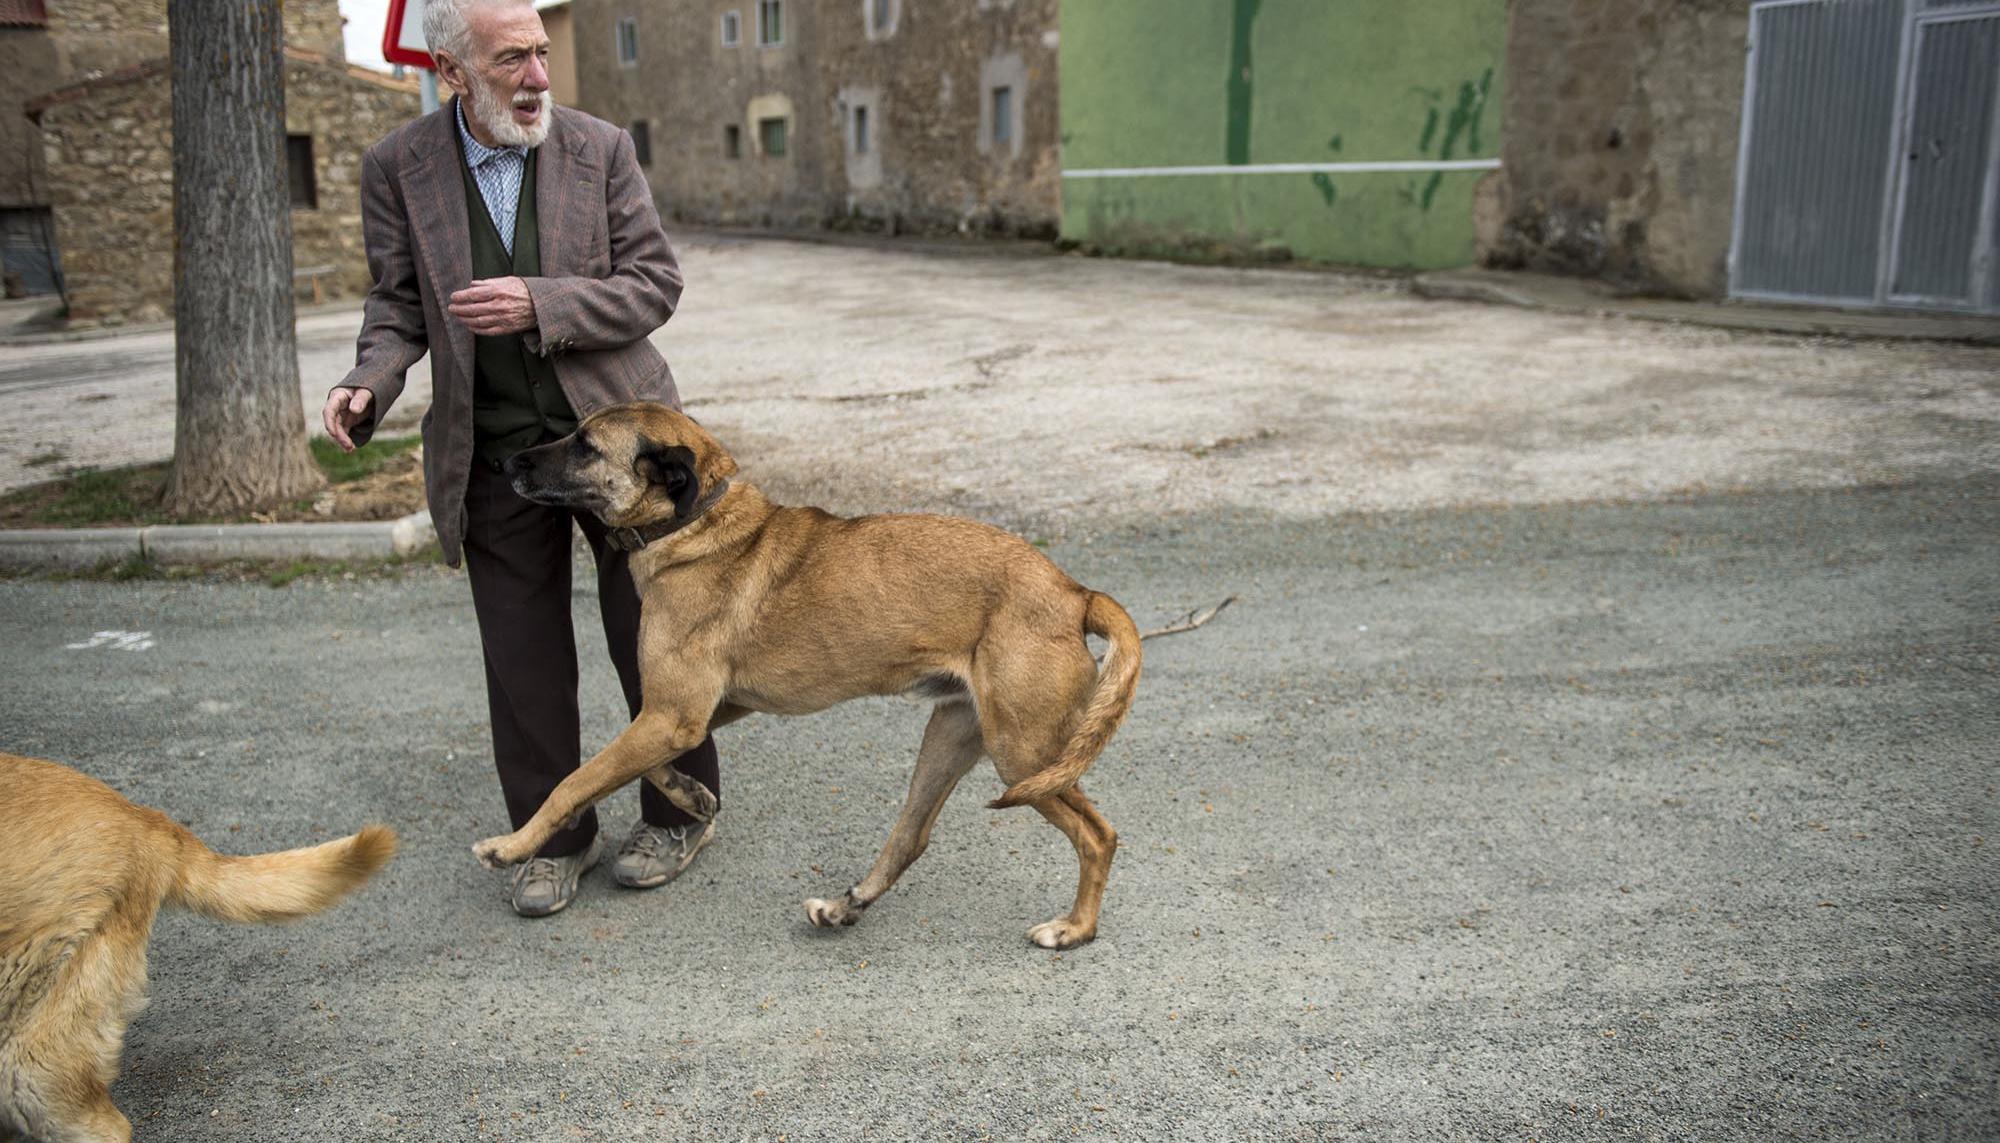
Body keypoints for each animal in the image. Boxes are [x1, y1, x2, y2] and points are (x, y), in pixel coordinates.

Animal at [466, 401, 1144, 947]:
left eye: (584, 444)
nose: (505, 462)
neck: (696, 525)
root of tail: (1074, 593)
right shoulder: (687, 714)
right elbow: (645, 768)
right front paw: (692, 796)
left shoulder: (672, 717)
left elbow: (575, 781)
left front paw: (511, 846)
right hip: (954, 739)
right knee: (910, 840)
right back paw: (846, 907)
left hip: (1023, 755)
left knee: (1099, 835)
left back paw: (1075, 929)